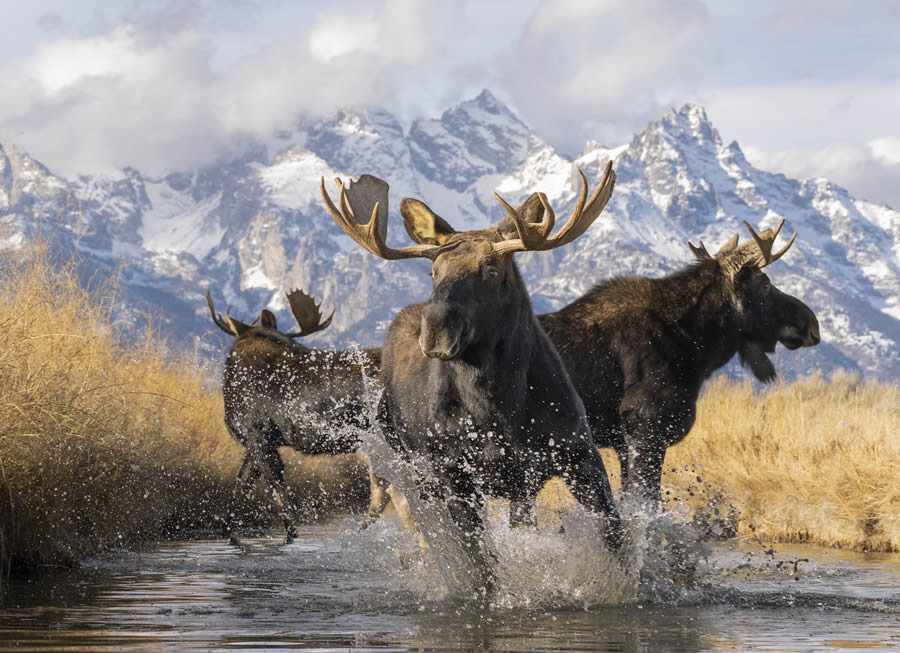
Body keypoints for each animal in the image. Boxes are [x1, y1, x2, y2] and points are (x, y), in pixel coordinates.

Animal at [205, 290, 412, 540]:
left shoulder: (258, 436)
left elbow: (276, 493)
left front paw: (291, 535)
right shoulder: (261, 443)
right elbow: (241, 487)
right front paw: (227, 527)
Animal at [324, 162, 624, 584]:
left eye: (491, 269)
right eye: (433, 270)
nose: (435, 329)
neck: (498, 406)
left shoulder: (570, 454)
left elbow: (615, 535)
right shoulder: (452, 476)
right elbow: (480, 564)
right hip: (411, 469)